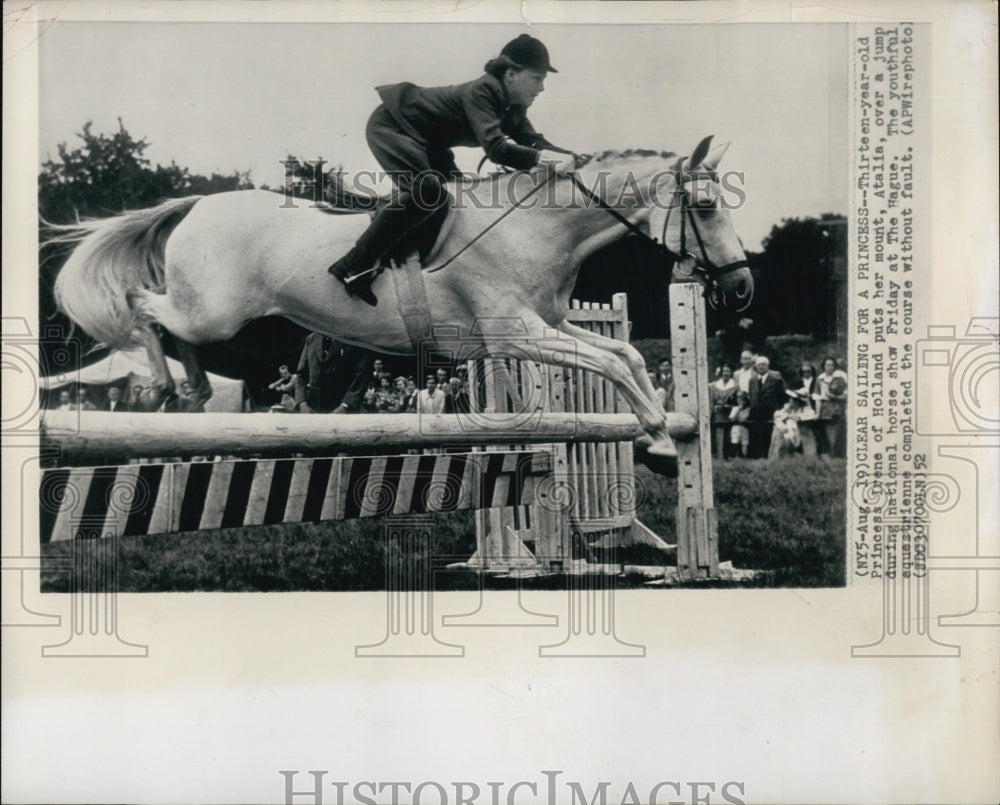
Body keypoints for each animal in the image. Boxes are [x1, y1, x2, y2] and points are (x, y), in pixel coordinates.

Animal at [52, 136, 752, 468]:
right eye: (705, 205)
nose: (743, 288)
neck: (536, 229)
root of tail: (197, 204)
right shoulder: (515, 334)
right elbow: (611, 363)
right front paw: (660, 441)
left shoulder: (548, 326)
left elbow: (625, 357)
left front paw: (661, 438)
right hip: (213, 310)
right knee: (145, 307)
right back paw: (162, 389)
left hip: (212, 314)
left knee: (171, 328)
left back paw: (193, 391)